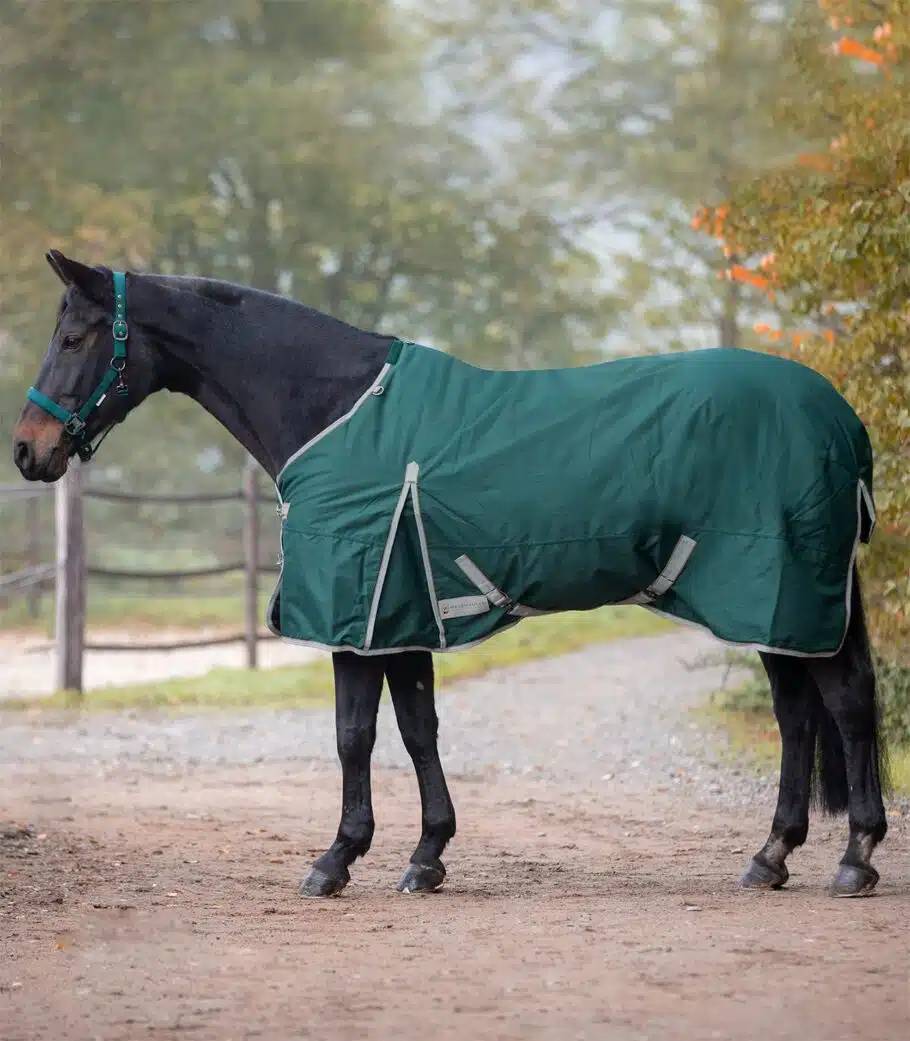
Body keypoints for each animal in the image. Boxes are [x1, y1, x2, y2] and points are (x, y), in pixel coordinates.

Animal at [8, 249, 887, 895]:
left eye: (77, 336)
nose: (26, 450)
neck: (334, 408)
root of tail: (842, 417)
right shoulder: (398, 613)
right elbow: (417, 727)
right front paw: (426, 854)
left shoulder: (357, 610)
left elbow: (354, 734)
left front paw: (336, 859)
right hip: (776, 605)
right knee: (799, 714)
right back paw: (772, 856)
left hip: (778, 590)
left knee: (843, 703)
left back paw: (854, 858)